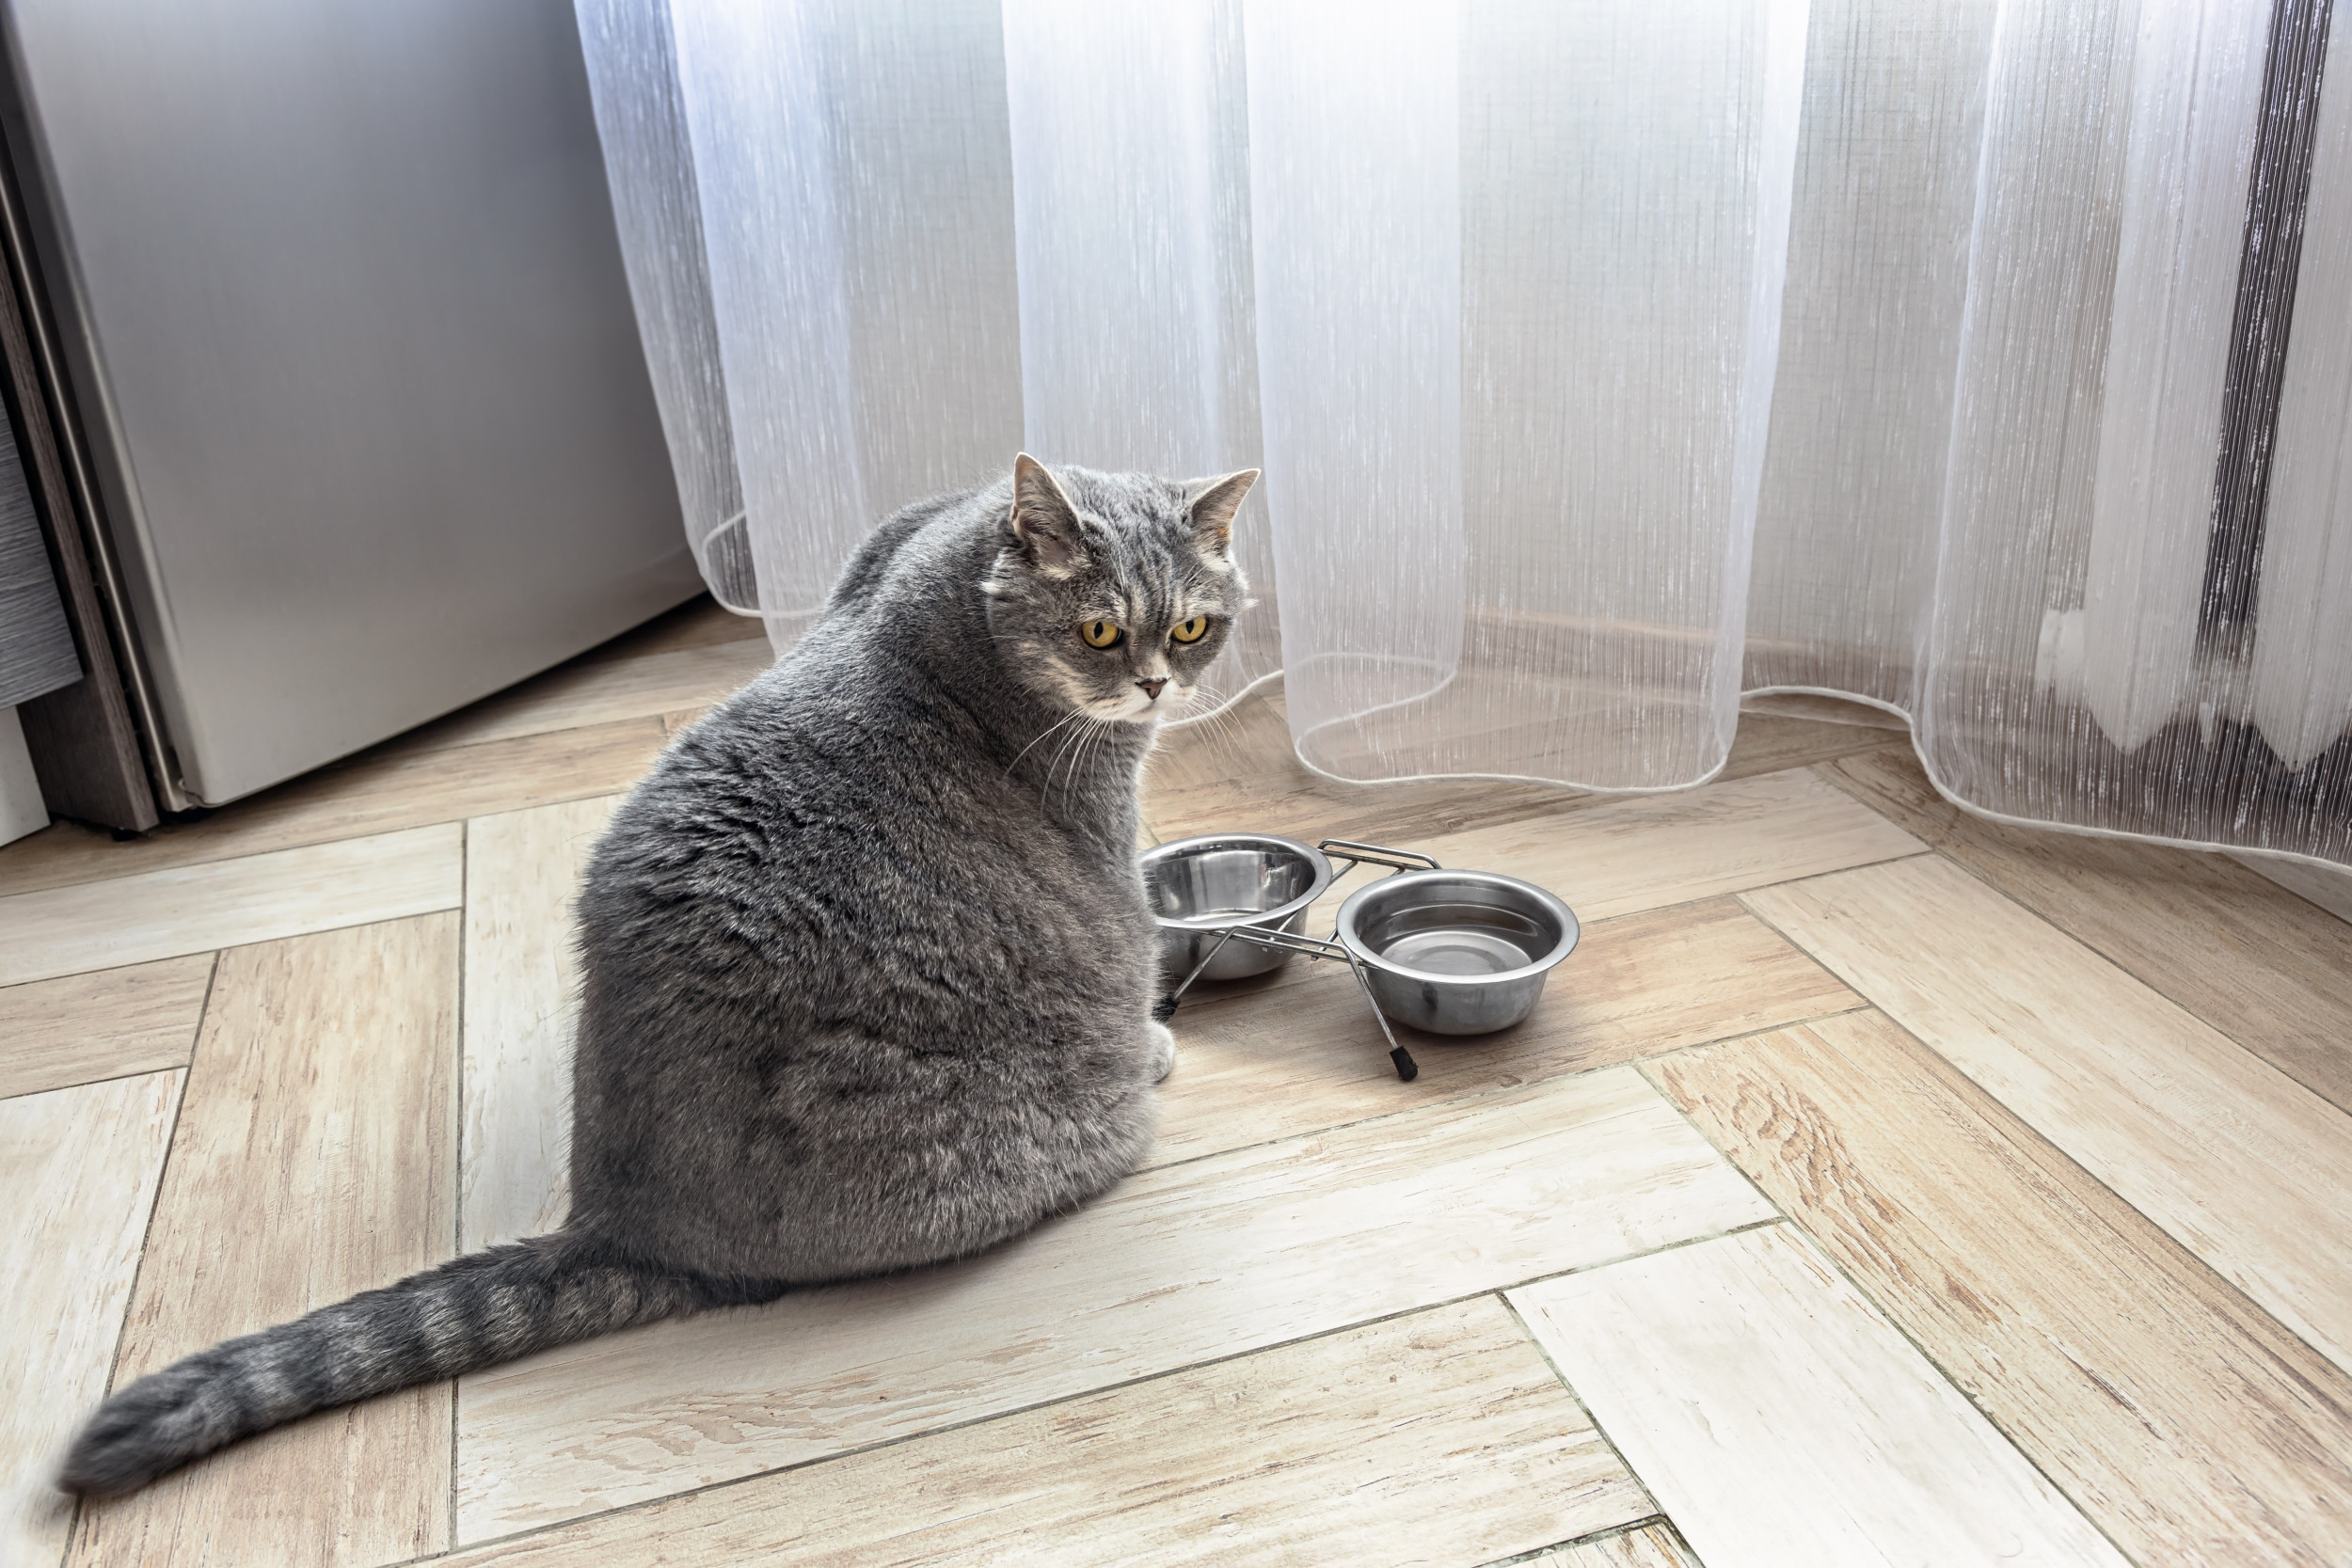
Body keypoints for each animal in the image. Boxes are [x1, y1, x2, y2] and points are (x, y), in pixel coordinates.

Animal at [59, 451, 1251, 1495]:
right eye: (1099, 628)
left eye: (1193, 624)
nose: (1155, 683)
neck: (950, 581)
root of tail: (628, 1220)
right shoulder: (1104, 839)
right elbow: (1130, 930)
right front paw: (1154, 1031)